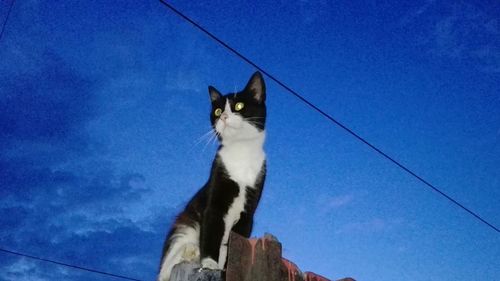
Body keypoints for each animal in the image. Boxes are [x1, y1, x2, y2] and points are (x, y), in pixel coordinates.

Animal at [158, 71, 268, 278]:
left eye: (239, 106)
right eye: (217, 111)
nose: (223, 116)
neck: (241, 152)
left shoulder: (248, 211)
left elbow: (235, 241)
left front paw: (226, 267)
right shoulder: (215, 197)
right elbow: (211, 231)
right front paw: (209, 263)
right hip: (184, 226)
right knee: (168, 264)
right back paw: (190, 252)